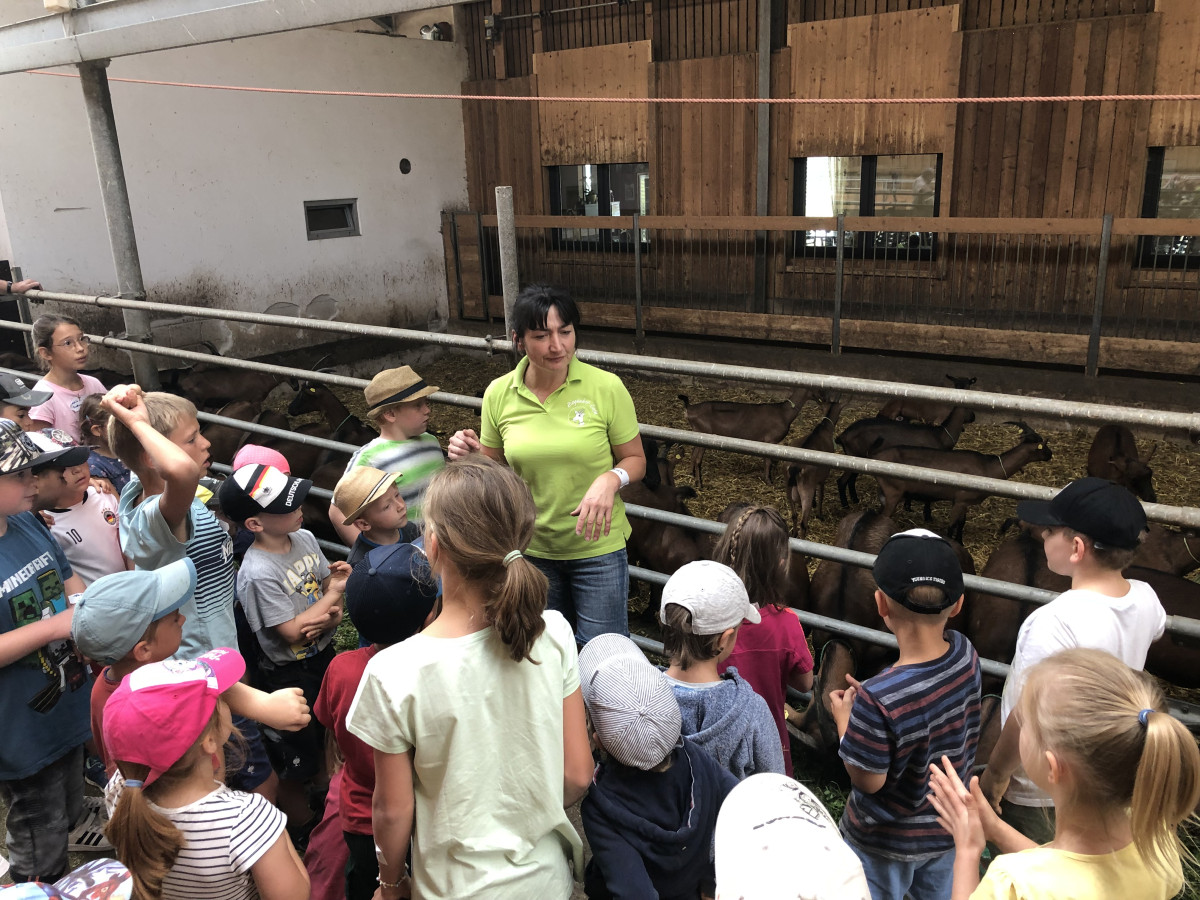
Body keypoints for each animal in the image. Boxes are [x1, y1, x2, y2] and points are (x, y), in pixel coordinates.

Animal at [676, 386, 816, 489]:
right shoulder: (770, 440)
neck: (784, 413)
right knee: (698, 459)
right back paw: (699, 484)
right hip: (704, 434)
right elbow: (768, 461)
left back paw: (691, 474)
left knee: (693, 454)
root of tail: (689, 408)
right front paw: (769, 481)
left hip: (696, 434)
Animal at [787, 393, 844, 535]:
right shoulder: (822, 477)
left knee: (794, 515)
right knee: (803, 523)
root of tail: (795, 467)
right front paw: (819, 515)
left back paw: (794, 532)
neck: (822, 429)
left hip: (788, 487)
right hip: (806, 489)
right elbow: (821, 495)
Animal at [868, 422, 1056, 542]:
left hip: (884, 492)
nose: (1050, 455)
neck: (988, 467)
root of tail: (876, 456)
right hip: (893, 493)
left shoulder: (964, 502)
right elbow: (951, 526)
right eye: (1043, 445)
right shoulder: (959, 501)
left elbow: (961, 524)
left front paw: (960, 542)